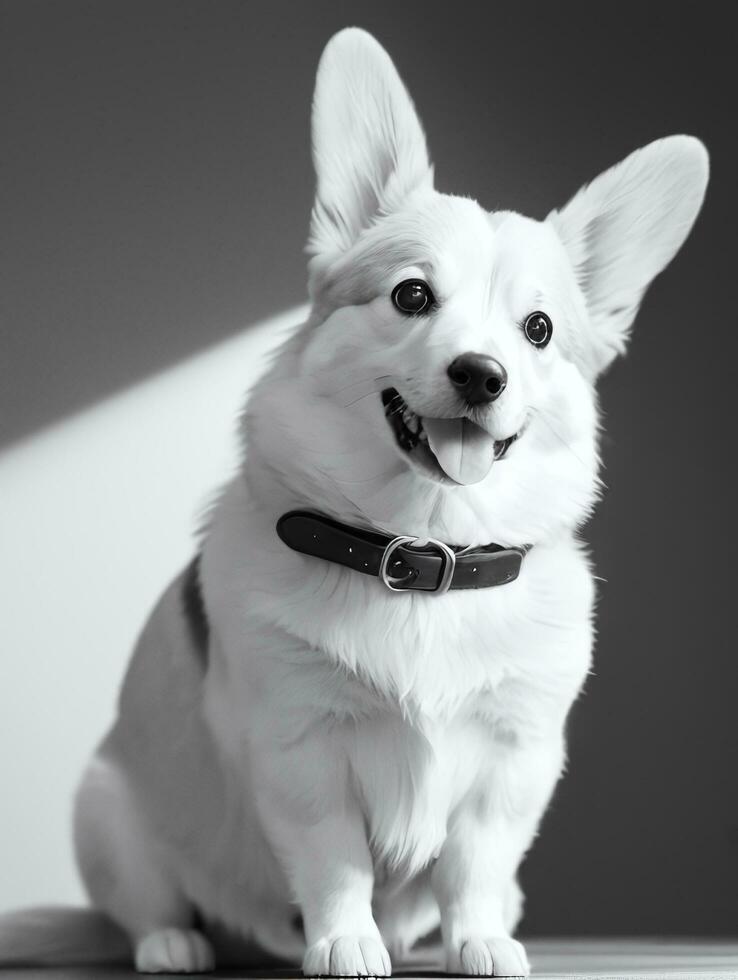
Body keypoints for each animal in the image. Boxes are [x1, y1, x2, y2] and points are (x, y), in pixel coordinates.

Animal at [0, 26, 708, 976]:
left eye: (540, 330)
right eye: (412, 295)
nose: (480, 374)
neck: (423, 548)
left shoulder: (514, 760)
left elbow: (477, 863)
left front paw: (478, 939)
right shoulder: (303, 753)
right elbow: (336, 862)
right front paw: (345, 942)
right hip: (106, 810)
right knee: (147, 903)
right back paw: (175, 942)